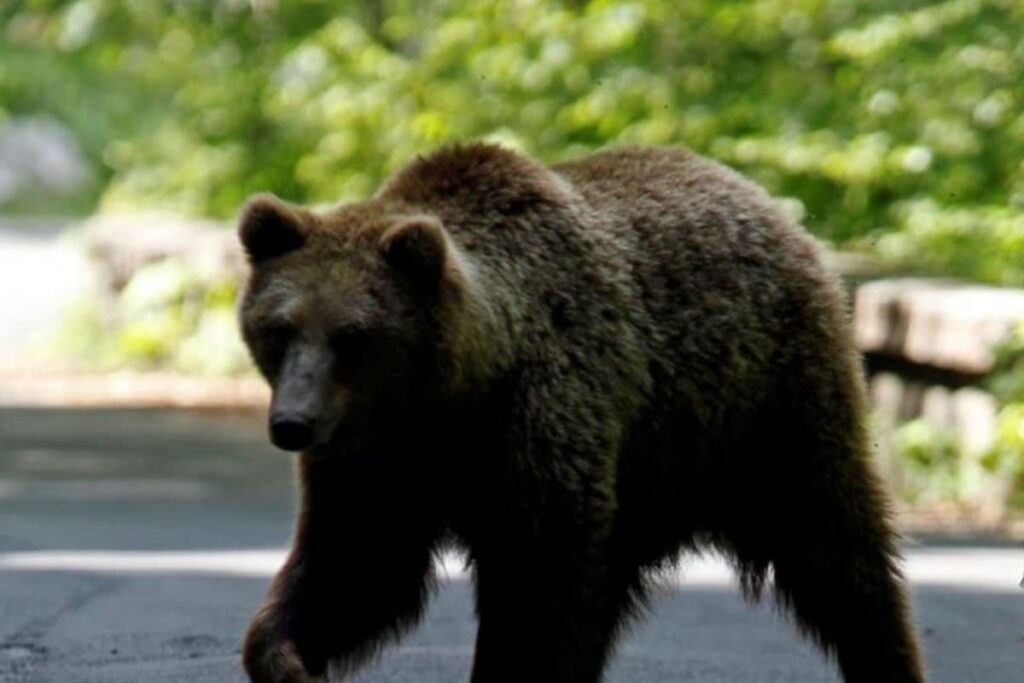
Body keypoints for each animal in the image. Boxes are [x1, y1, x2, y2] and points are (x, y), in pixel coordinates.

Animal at [235, 141, 925, 679]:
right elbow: (356, 564)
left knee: (836, 549)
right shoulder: (378, 462)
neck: (452, 397)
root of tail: (767, 204)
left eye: (352, 336)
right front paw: (285, 657)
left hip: (769, 406)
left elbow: (540, 589)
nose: (292, 423)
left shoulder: (538, 424)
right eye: (280, 327)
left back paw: (886, 657)